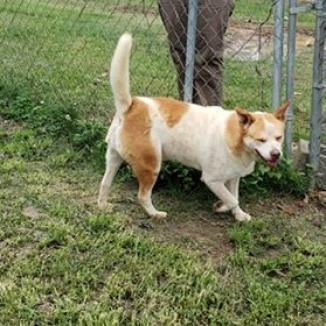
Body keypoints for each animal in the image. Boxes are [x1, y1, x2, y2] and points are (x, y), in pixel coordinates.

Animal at [98, 33, 290, 222]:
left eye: (279, 138)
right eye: (261, 140)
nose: (276, 154)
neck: (236, 136)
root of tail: (131, 106)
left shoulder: (234, 177)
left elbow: (235, 197)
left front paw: (239, 215)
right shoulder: (212, 180)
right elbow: (232, 199)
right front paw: (221, 207)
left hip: (113, 159)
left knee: (104, 184)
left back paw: (103, 206)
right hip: (151, 165)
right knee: (142, 196)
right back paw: (155, 213)